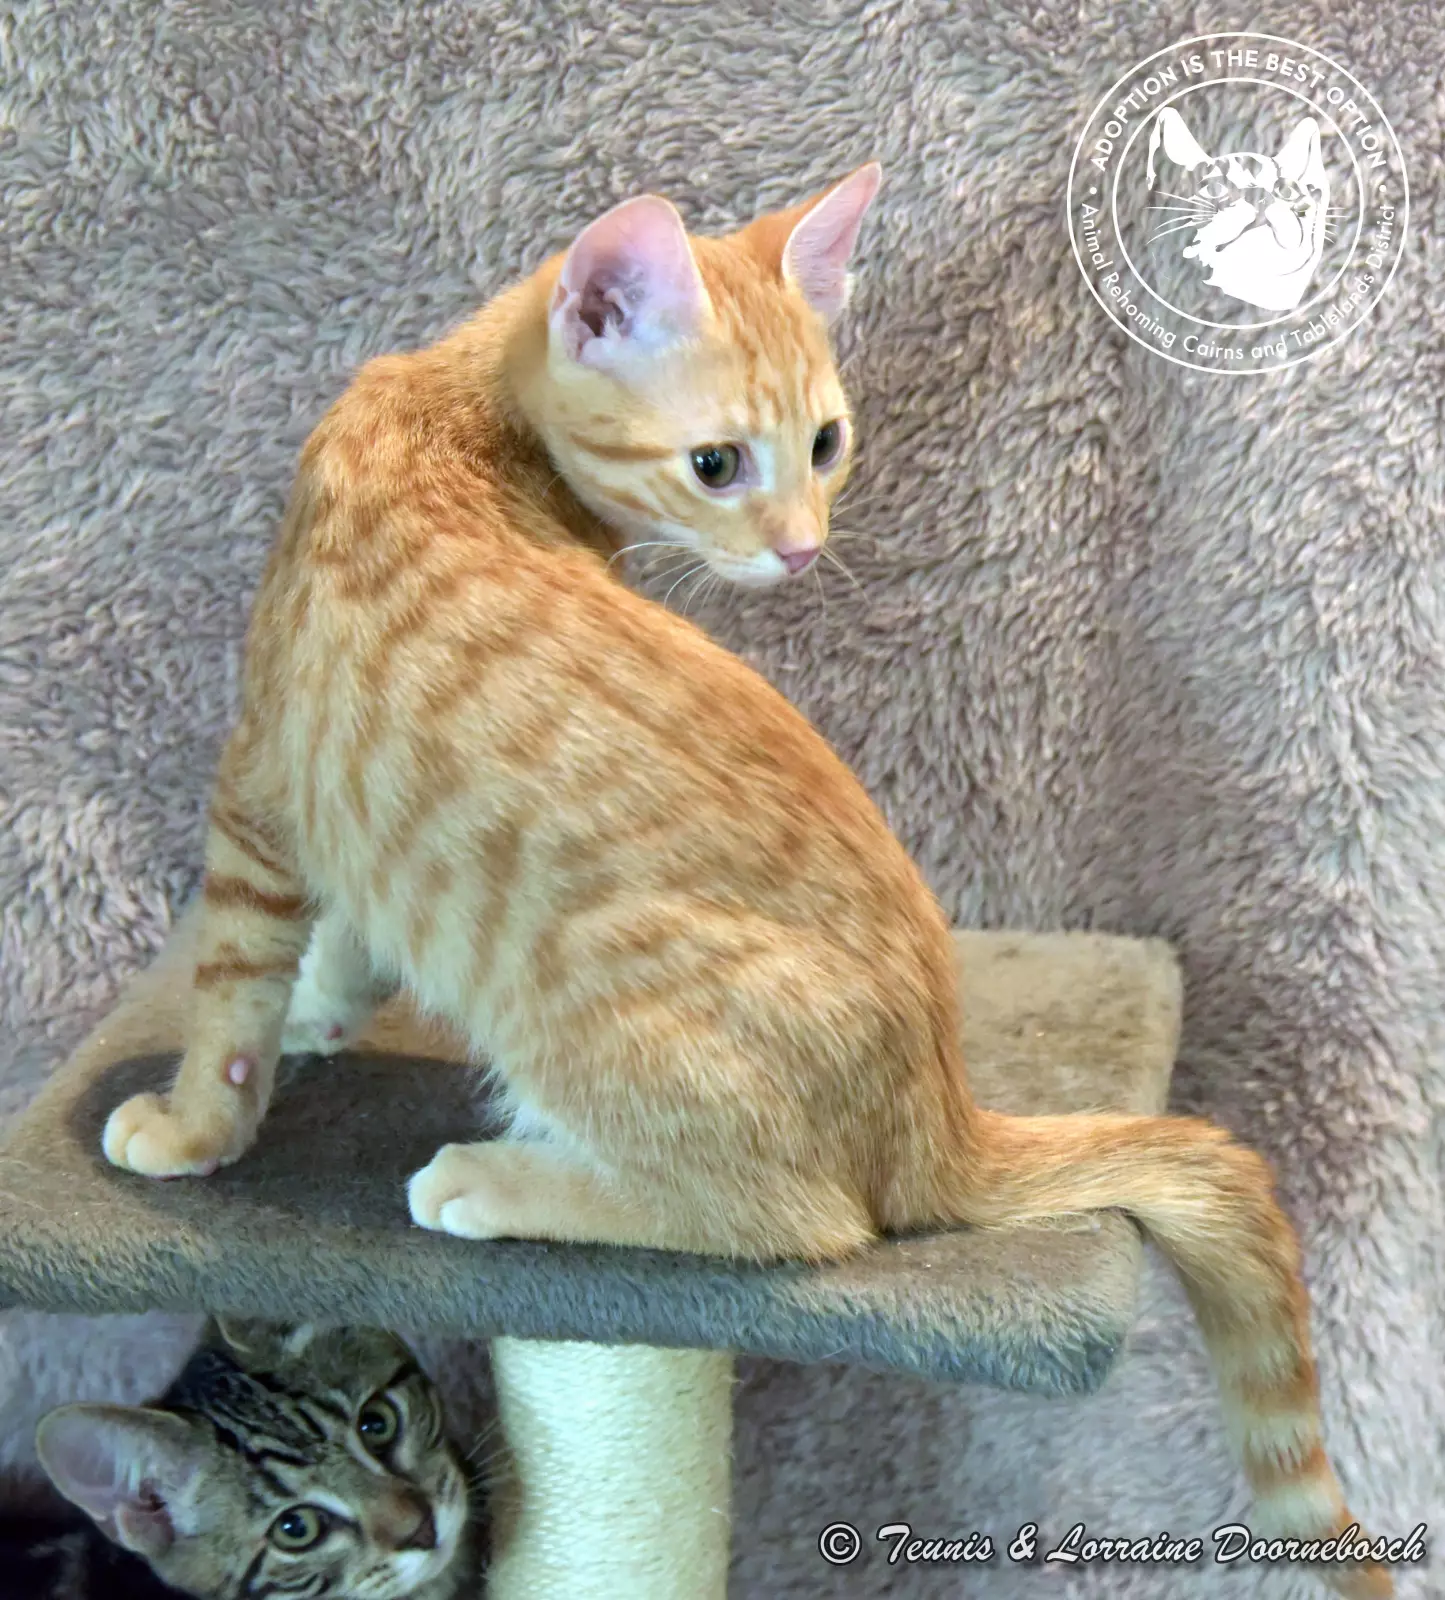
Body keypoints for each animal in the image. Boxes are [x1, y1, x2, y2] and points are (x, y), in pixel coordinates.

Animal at [97, 163, 1387, 1597]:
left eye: (823, 445)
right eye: (718, 463)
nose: (802, 550)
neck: (449, 416)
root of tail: (939, 1106)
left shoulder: (261, 776)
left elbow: (229, 995)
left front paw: (195, 1127)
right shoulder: (312, 782)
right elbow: (338, 931)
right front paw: (326, 1005)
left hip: (590, 991)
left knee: (795, 1219)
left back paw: (499, 1181)